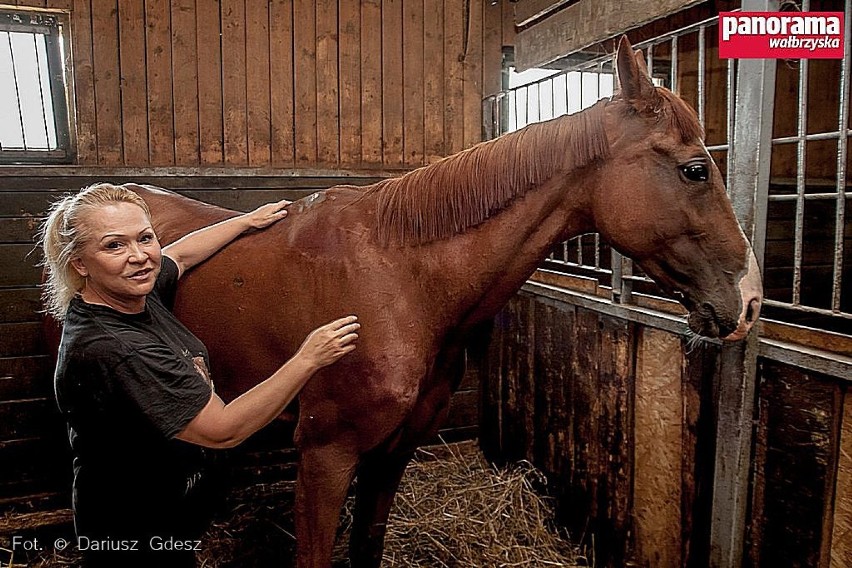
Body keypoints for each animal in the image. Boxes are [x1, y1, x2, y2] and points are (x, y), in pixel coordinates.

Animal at [125, 36, 760, 568]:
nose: (750, 301)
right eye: (695, 170)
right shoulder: (326, 454)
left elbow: (369, 544)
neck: (400, 280)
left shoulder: (395, 450)